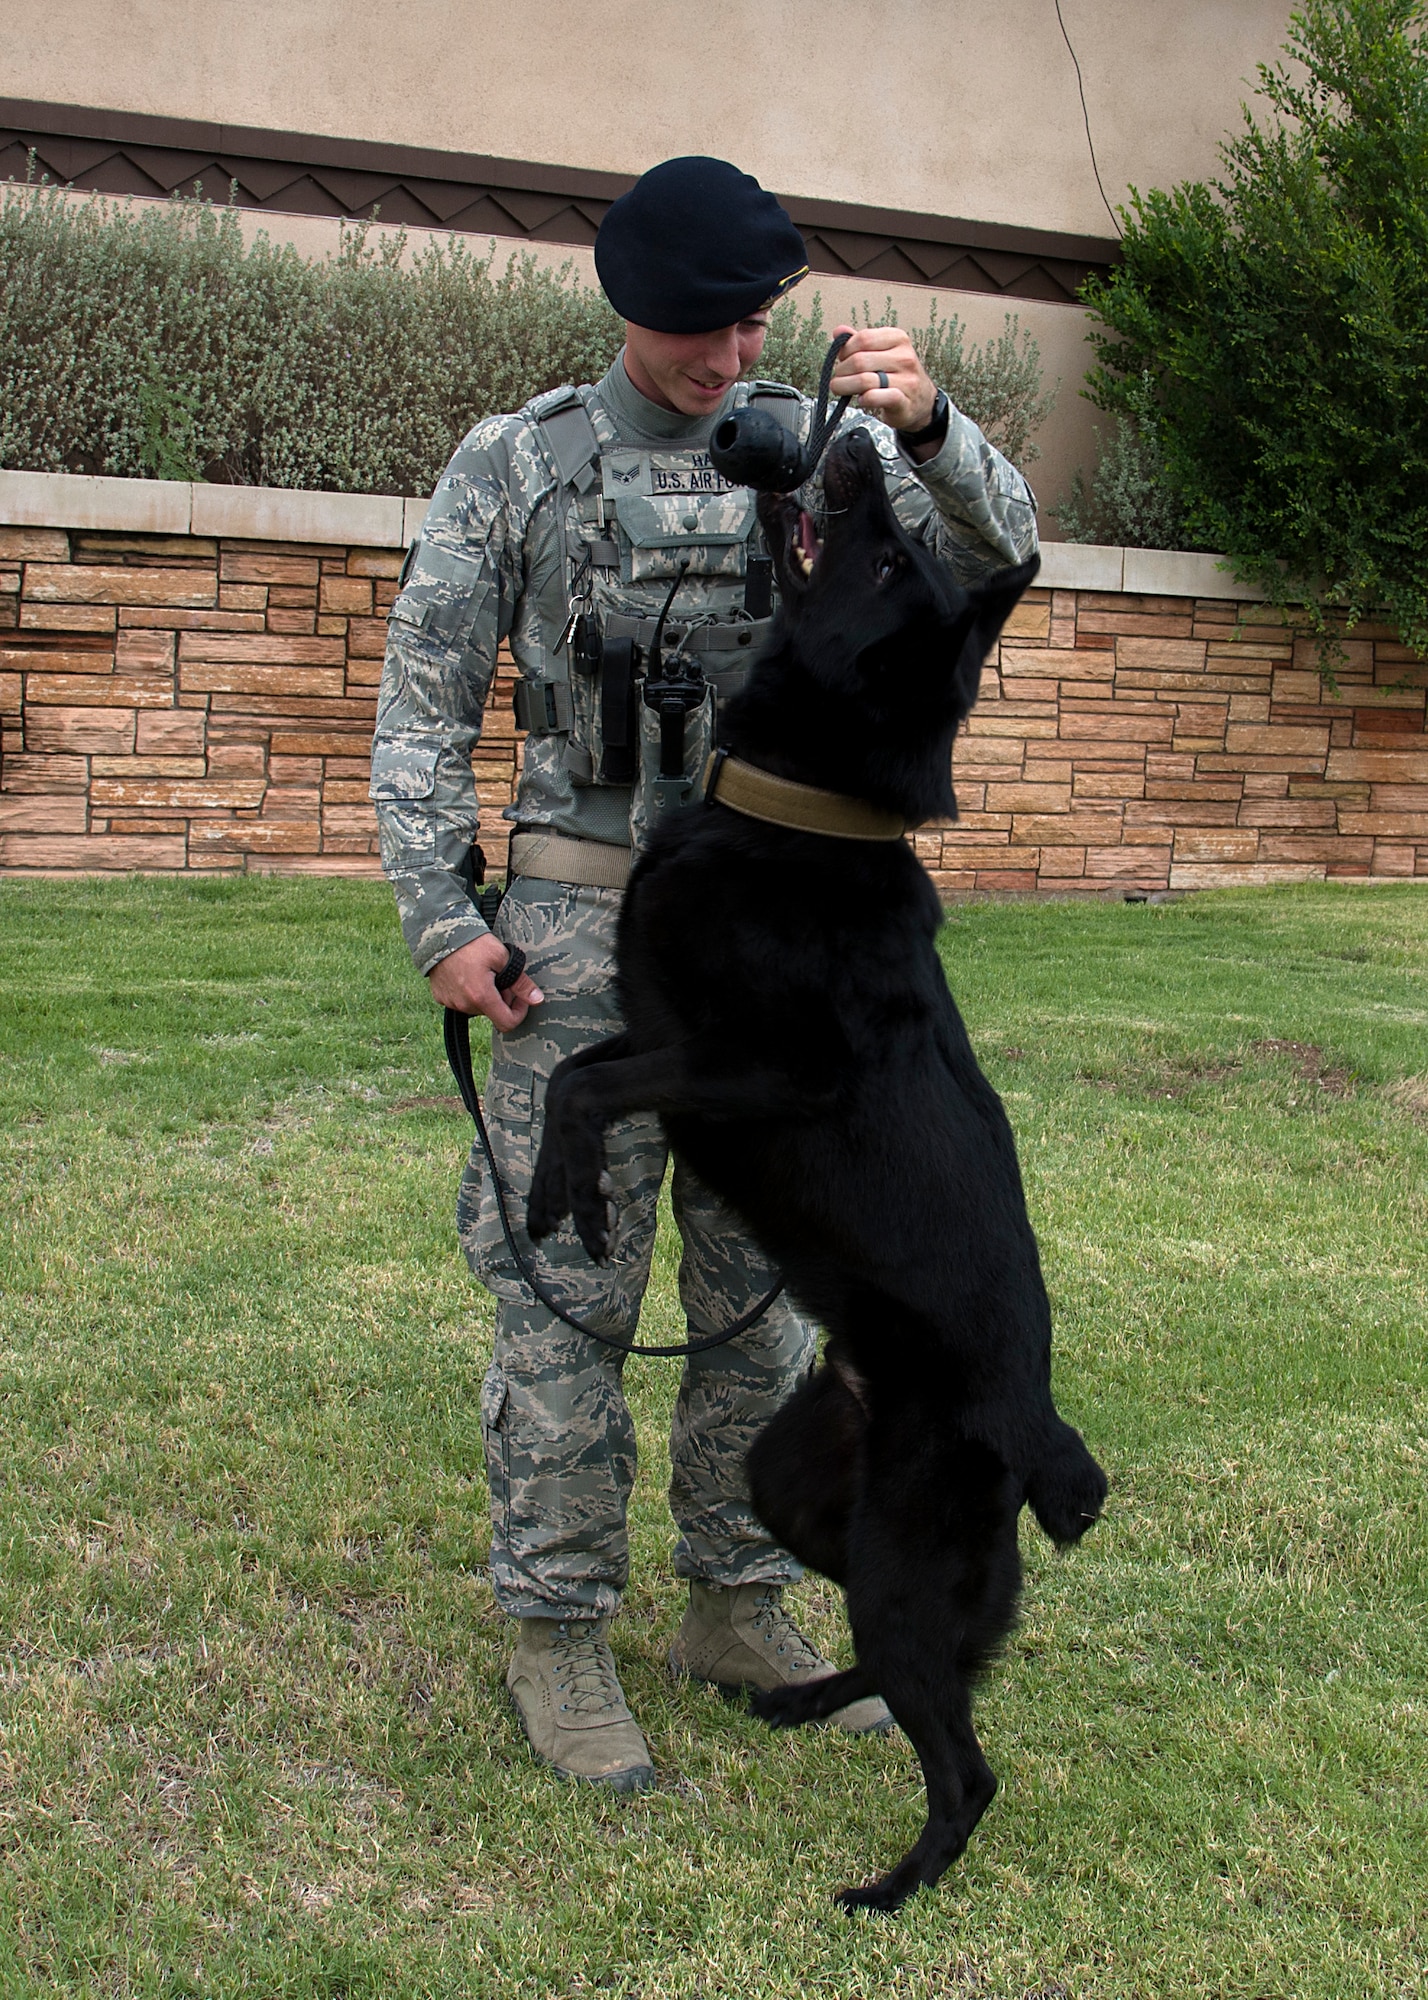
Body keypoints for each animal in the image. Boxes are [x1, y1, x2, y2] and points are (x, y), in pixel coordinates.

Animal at [528, 430, 1104, 1912]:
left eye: (893, 551)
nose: (851, 437)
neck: (793, 811)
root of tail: (1038, 1433)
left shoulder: (746, 1069)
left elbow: (589, 1083)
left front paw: (575, 1195)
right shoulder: (662, 1031)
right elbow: (568, 1072)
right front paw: (563, 1187)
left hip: (898, 1562)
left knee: (965, 1759)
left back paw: (887, 1891)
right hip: (792, 1490)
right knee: (919, 1670)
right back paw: (794, 1702)